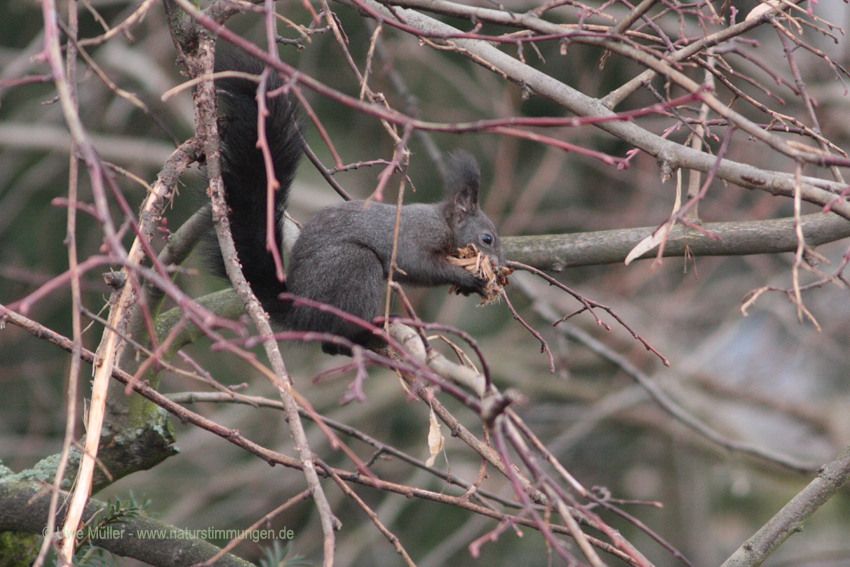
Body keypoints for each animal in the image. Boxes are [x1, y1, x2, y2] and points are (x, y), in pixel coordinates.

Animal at [207, 51, 504, 358]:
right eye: (487, 238)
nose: (502, 269)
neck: (442, 222)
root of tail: (301, 314)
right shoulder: (415, 236)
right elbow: (417, 265)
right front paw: (466, 278)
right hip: (354, 267)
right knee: (334, 338)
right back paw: (366, 330)